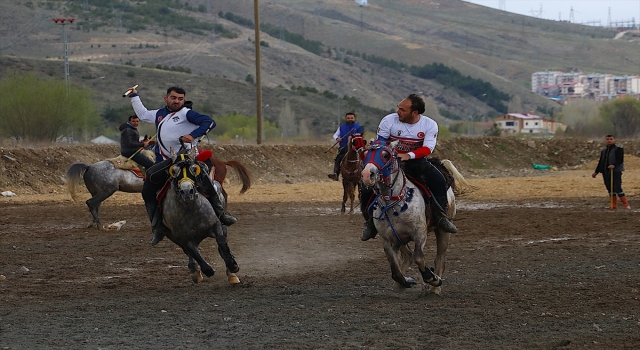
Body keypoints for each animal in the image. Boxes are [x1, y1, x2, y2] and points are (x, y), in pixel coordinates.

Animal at [66, 148, 251, 228]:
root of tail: (88, 167)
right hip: (106, 191)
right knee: (92, 203)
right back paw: (97, 224)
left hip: (101, 191)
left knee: (93, 204)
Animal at [160, 146, 240, 286]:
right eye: (174, 171)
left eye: (193, 169)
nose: (187, 191)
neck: (191, 211)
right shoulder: (182, 238)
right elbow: (193, 252)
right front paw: (206, 270)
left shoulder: (216, 225)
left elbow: (221, 242)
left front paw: (232, 266)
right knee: (190, 252)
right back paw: (195, 271)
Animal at [360, 139, 464, 296]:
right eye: (365, 154)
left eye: (385, 155)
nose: (367, 174)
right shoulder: (387, 239)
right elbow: (395, 269)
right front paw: (406, 281)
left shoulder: (419, 233)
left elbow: (419, 258)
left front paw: (433, 279)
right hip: (400, 239)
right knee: (408, 256)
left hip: (443, 231)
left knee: (439, 258)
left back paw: (435, 288)